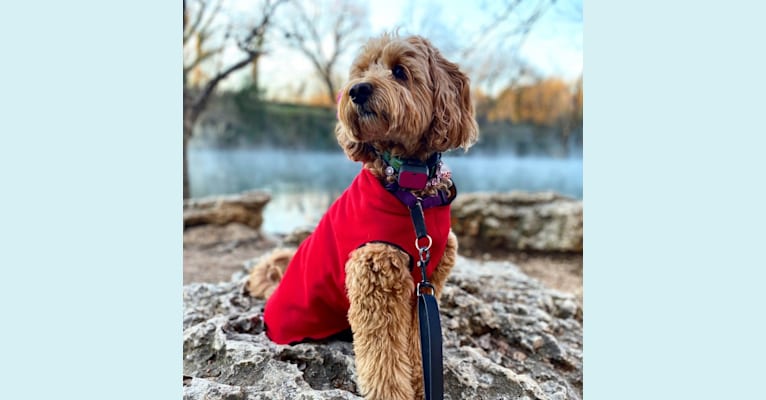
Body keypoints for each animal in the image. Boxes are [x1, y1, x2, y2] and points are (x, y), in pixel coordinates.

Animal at [249, 34, 480, 400]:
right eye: (360, 72)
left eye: (399, 71)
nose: (357, 90)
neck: (409, 185)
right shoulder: (375, 275)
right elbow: (384, 356)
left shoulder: (426, 283)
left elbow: (418, 344)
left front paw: (421, 384)